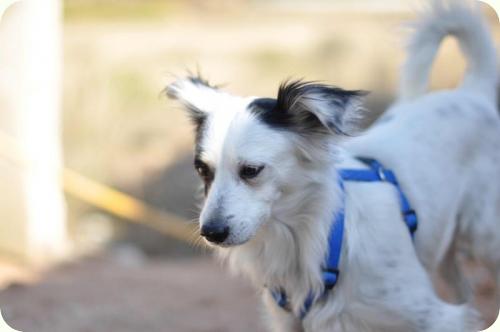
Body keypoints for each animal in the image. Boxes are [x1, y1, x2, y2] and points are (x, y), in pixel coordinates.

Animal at [167, 1, 500, 330]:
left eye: (251, 170)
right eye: (202, 170)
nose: (211, 232)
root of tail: (471, 93)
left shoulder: (436, 317)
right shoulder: (289, 321)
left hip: (486, 239)